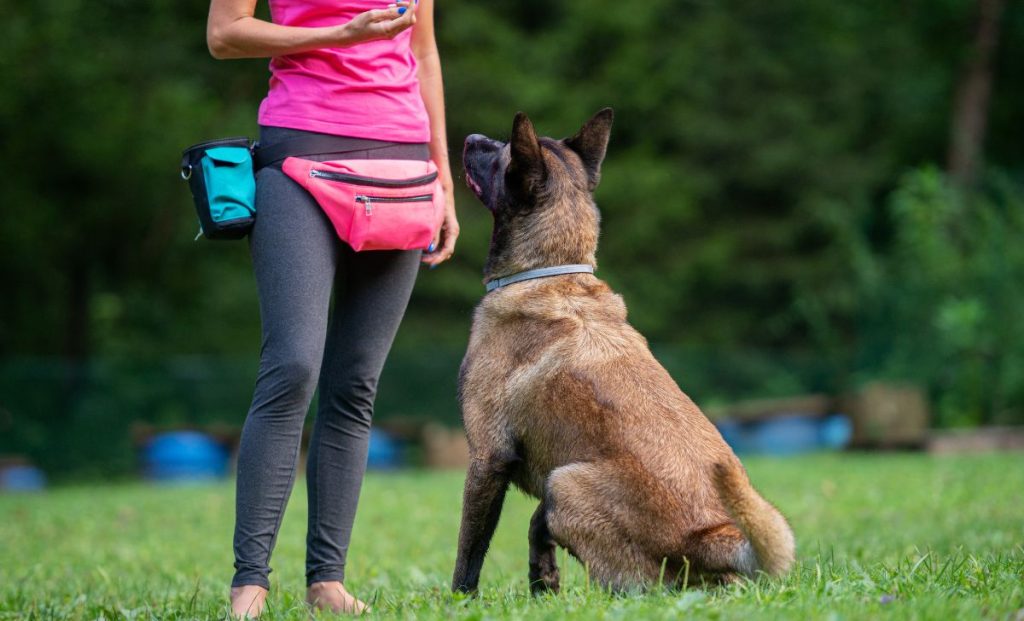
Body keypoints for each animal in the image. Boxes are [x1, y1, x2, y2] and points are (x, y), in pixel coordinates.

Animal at [456, 109, 798, 594]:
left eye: (501, 151)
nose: (469, 137)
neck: (550, 272)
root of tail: (710, 538)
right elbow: (535, 530)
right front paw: (543, 584)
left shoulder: (487, 459)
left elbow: (469, 553)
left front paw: (458, 601)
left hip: (566, 482)